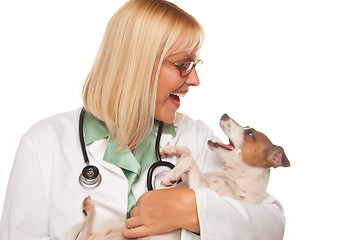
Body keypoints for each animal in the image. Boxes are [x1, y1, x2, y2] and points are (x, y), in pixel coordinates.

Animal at [68, 113, 290, 239]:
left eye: (250, 133)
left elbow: (189, 161)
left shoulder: (198, 189)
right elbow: (188, 153)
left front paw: (171, 175)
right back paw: (88, 209)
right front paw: (170, 150)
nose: (225, 114)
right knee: (84, 234)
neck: (235, 176)